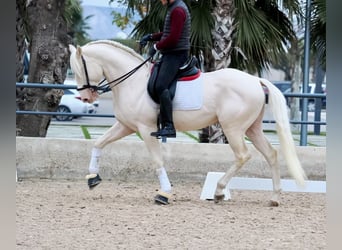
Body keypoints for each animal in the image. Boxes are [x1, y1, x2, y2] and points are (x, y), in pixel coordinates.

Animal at [68, 40, 306, 206]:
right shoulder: (126, 126)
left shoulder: (146, 129)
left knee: (242, 156)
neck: (132, 82)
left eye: (79, 70)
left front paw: (164, 194)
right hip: (252, 128)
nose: (86, 98)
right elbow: (98, 143)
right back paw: (274, 197)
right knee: (271, 154)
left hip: (233, 128)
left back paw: (219, 191)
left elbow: (157, 161)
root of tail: (256, 80)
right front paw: (92, 178)